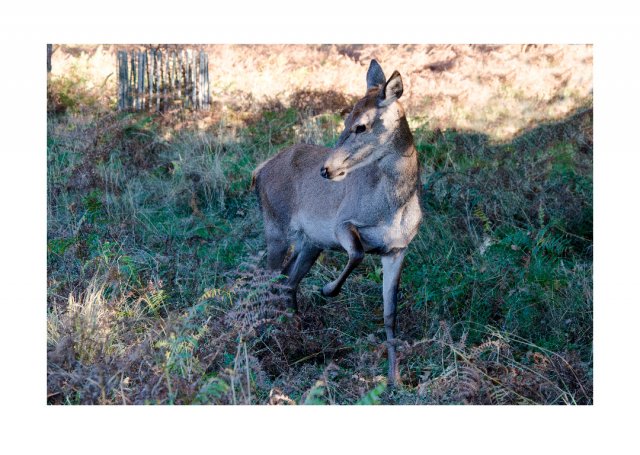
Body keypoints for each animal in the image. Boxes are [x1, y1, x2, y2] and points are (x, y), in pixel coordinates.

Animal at [252, 59, 422, 384]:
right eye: (345, 121)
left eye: (361, 125)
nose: (326, 169)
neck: (394, 208)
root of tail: (259, 170)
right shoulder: (342, 223)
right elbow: (356, 253)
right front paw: (328, 289)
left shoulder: (398, 249)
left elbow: (390, 313)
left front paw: (395, 378)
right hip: (275, 227)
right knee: (268, 279)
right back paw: (265, 340)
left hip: (310, 243)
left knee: (288, 281)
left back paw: (294, 335)